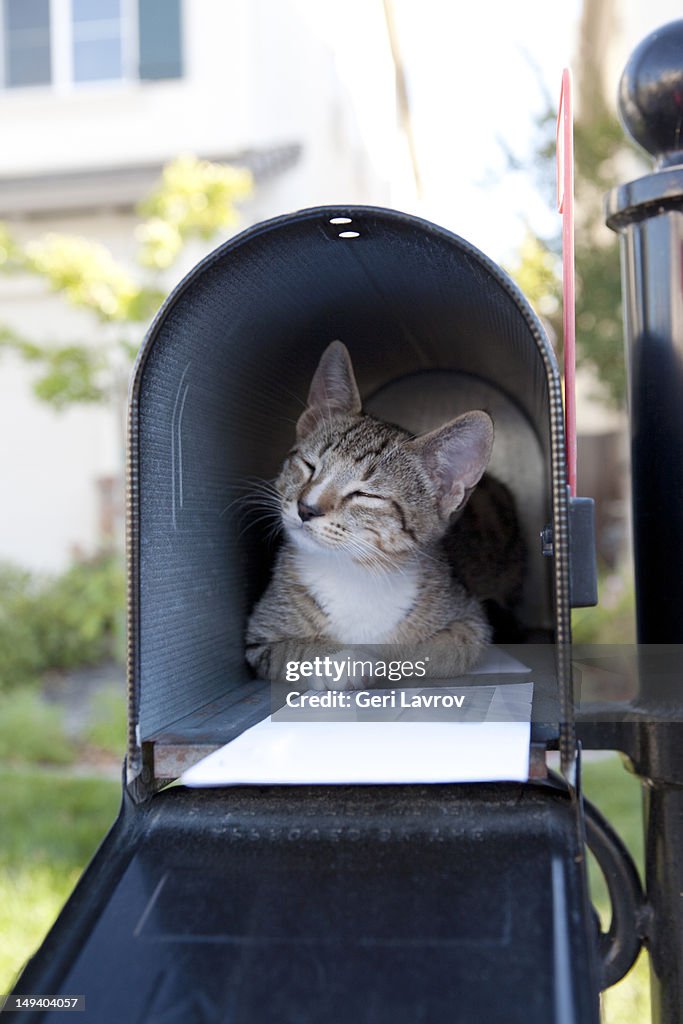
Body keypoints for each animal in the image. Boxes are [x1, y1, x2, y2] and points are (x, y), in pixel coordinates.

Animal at [242, 339, 509, 692]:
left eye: (364, 494)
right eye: (309, 466)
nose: (305, 507)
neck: (355, 572)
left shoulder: (471, 622)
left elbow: (435, 652)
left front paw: (382, 659)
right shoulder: (259, 637)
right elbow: (293, 650)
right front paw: (341, 659)